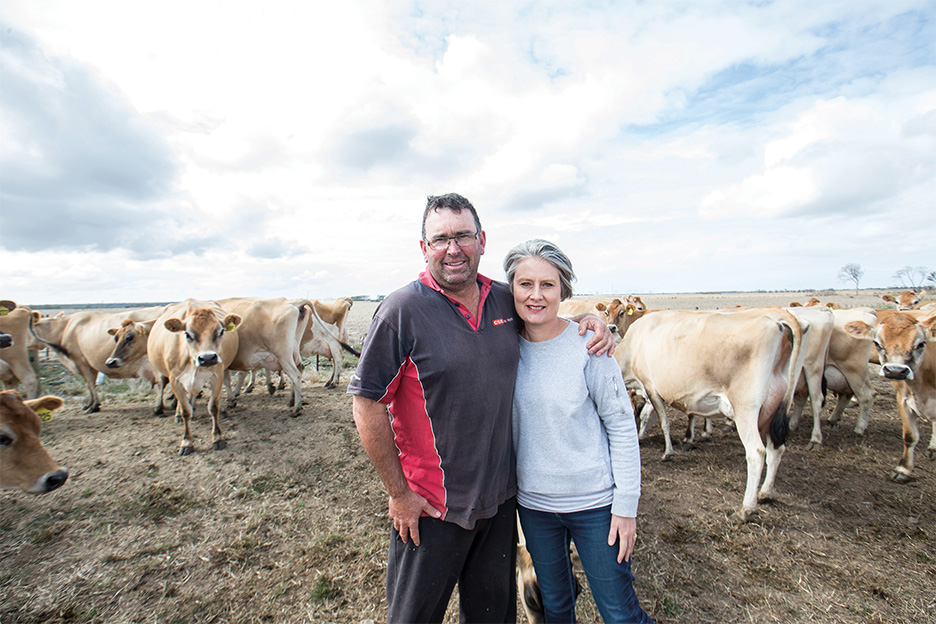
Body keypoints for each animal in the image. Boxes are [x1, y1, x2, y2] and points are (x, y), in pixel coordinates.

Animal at [30, 304, 166, 412]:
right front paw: (90, 404)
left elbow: (90, 383)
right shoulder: (90, 364)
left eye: (129, 337)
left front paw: (93, 405)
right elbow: (90, 384)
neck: (65, 329)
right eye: (115, 338)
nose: (110, 362)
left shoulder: (80, 361)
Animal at [146, 300, 241, 456]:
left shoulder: (217, 375)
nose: (207, 358)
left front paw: (217, 438)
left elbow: (213, 407)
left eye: (221, 331)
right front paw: (187, 441)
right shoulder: (175, 380)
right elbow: (185, 411)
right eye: (187, 334)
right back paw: (177, 414)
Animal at [616, 308, 804, 520]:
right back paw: (766, 493)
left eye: (634, 411)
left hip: (746, 408)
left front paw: (667, 452)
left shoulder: (651, 387)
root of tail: (777, 322)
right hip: (776, 406)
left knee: (757, 452)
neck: (633, 344)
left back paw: (746, 508)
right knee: (776, 448)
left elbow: (662, 421)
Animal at [840, 312, 936, 482]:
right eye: (877, 343)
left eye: (920, 344)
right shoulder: (903, 399)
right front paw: (903, 469)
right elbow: (910, 436)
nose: (896, 371)